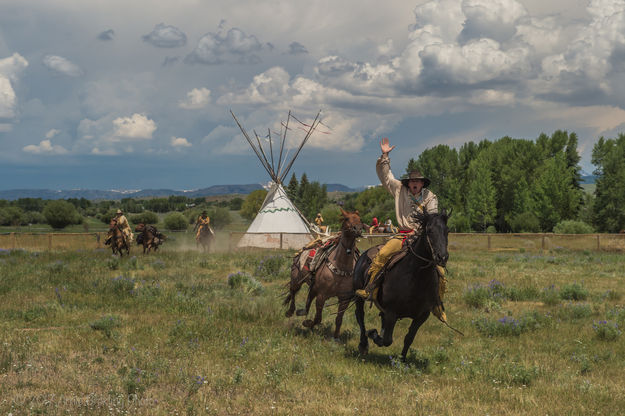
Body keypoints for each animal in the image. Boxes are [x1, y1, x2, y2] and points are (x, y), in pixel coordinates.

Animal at [284, 207, 366, 338]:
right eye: (347, 218)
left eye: (360, 219)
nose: (357, 229)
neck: (341, 266)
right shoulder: (322, 295)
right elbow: (318, 318)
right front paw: (308, 323)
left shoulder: (344, 299)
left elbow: (338, 319)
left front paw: (336, 337)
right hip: (297, 279)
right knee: (293, 292)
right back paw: (290, 311)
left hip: (313, 286)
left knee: (308, 297)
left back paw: (302, 311)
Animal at [354, 211, 450, 360]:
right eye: (429, 230)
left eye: (447, 231)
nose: (442, 257)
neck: (417, 278)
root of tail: (364, 255)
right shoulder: (391, 312)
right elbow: (387, 340)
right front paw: (373, 334)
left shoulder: (422, 316)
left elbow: (409, 338)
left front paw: (402, 360)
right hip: (359, 297)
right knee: (360, 316)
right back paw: (363, 344)